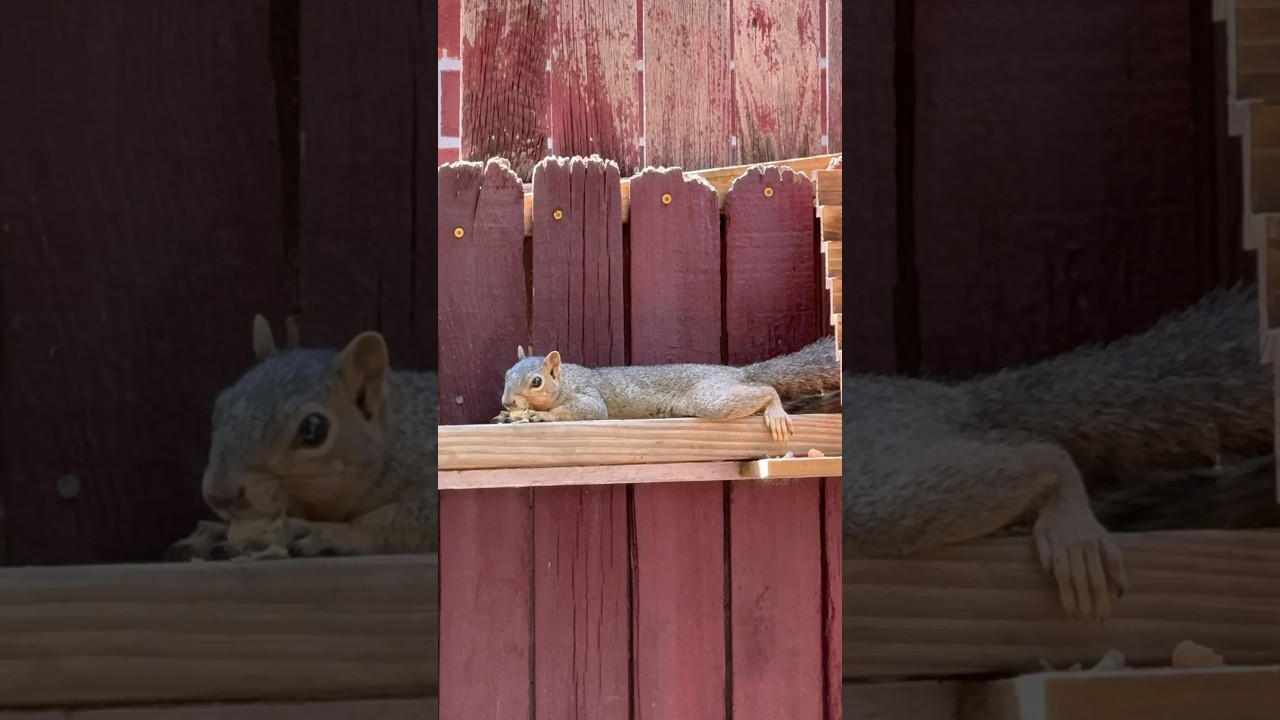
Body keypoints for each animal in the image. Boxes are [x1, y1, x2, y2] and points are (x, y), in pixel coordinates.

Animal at [166, 315, 438, 560]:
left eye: (313, 429)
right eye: (220, 406)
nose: (219, 496)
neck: (397, 439)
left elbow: (407, 520)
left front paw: (329, 533)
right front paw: (214, 534)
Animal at [493, 337, 840, 442]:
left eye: (536, 381)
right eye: (506, 374)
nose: (508, 402)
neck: (565, 381)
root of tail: (736, 372)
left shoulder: (588, 396)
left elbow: (588, 410)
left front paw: (541, 416)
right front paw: (505, 416)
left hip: (711, 396)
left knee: (767, 389)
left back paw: (775, 411)